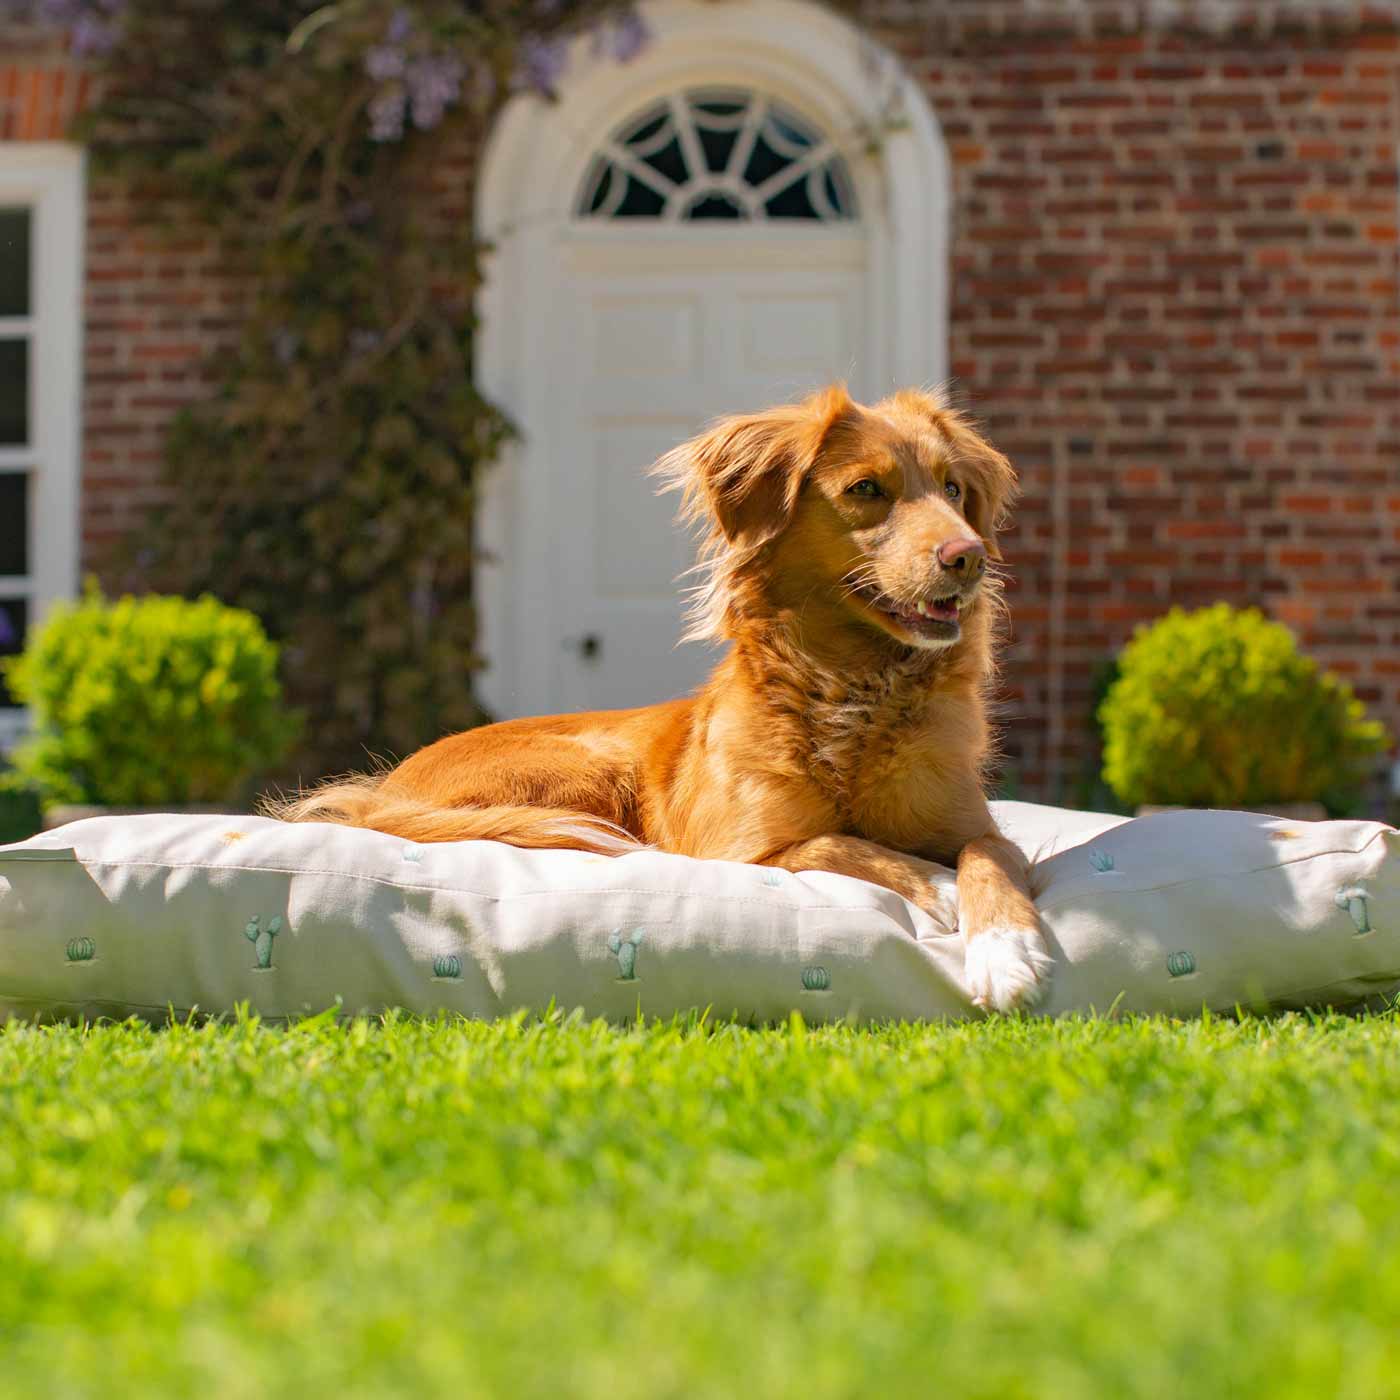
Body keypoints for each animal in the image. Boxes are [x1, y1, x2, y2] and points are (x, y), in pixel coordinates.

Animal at [278, 386, 1052, 1008]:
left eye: (953, 489)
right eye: (866, 489)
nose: (969, 557)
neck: (858, 690)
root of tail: (383, 797)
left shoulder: (982, 828)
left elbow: (987, 859)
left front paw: (1006, 952)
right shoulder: (743, 850)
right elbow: (843, 843)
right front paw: (938, 887)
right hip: (589, 770)